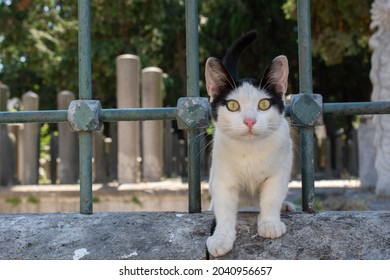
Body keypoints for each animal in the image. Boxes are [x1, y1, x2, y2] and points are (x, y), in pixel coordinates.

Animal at [204, 31, 292, 258]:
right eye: (233, 105)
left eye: (264, 104)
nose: (250, 121)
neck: (250, 150)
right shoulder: (222, 178)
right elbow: (224, 209)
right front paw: (221, 237)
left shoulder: (279, 171)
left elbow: (271, 197)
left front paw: (270, 223)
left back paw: (285, 206)